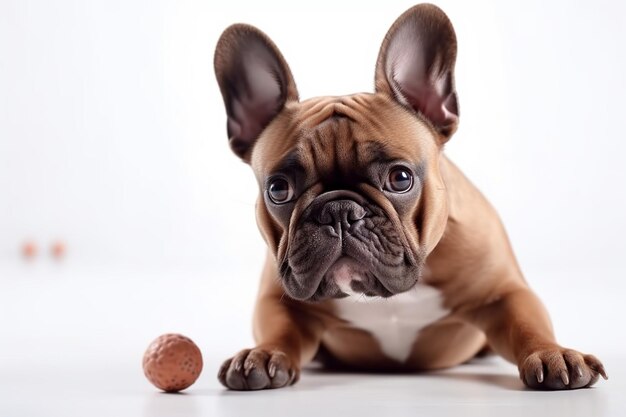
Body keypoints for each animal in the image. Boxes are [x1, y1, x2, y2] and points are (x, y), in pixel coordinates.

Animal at [211, 3, 604, 390]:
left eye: (400, 179)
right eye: (279, 189)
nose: (338, 210)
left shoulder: (504, 293)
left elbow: (527, 324)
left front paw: (552, 353)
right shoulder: (278, 301)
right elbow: (281, 330)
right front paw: (263, 354)